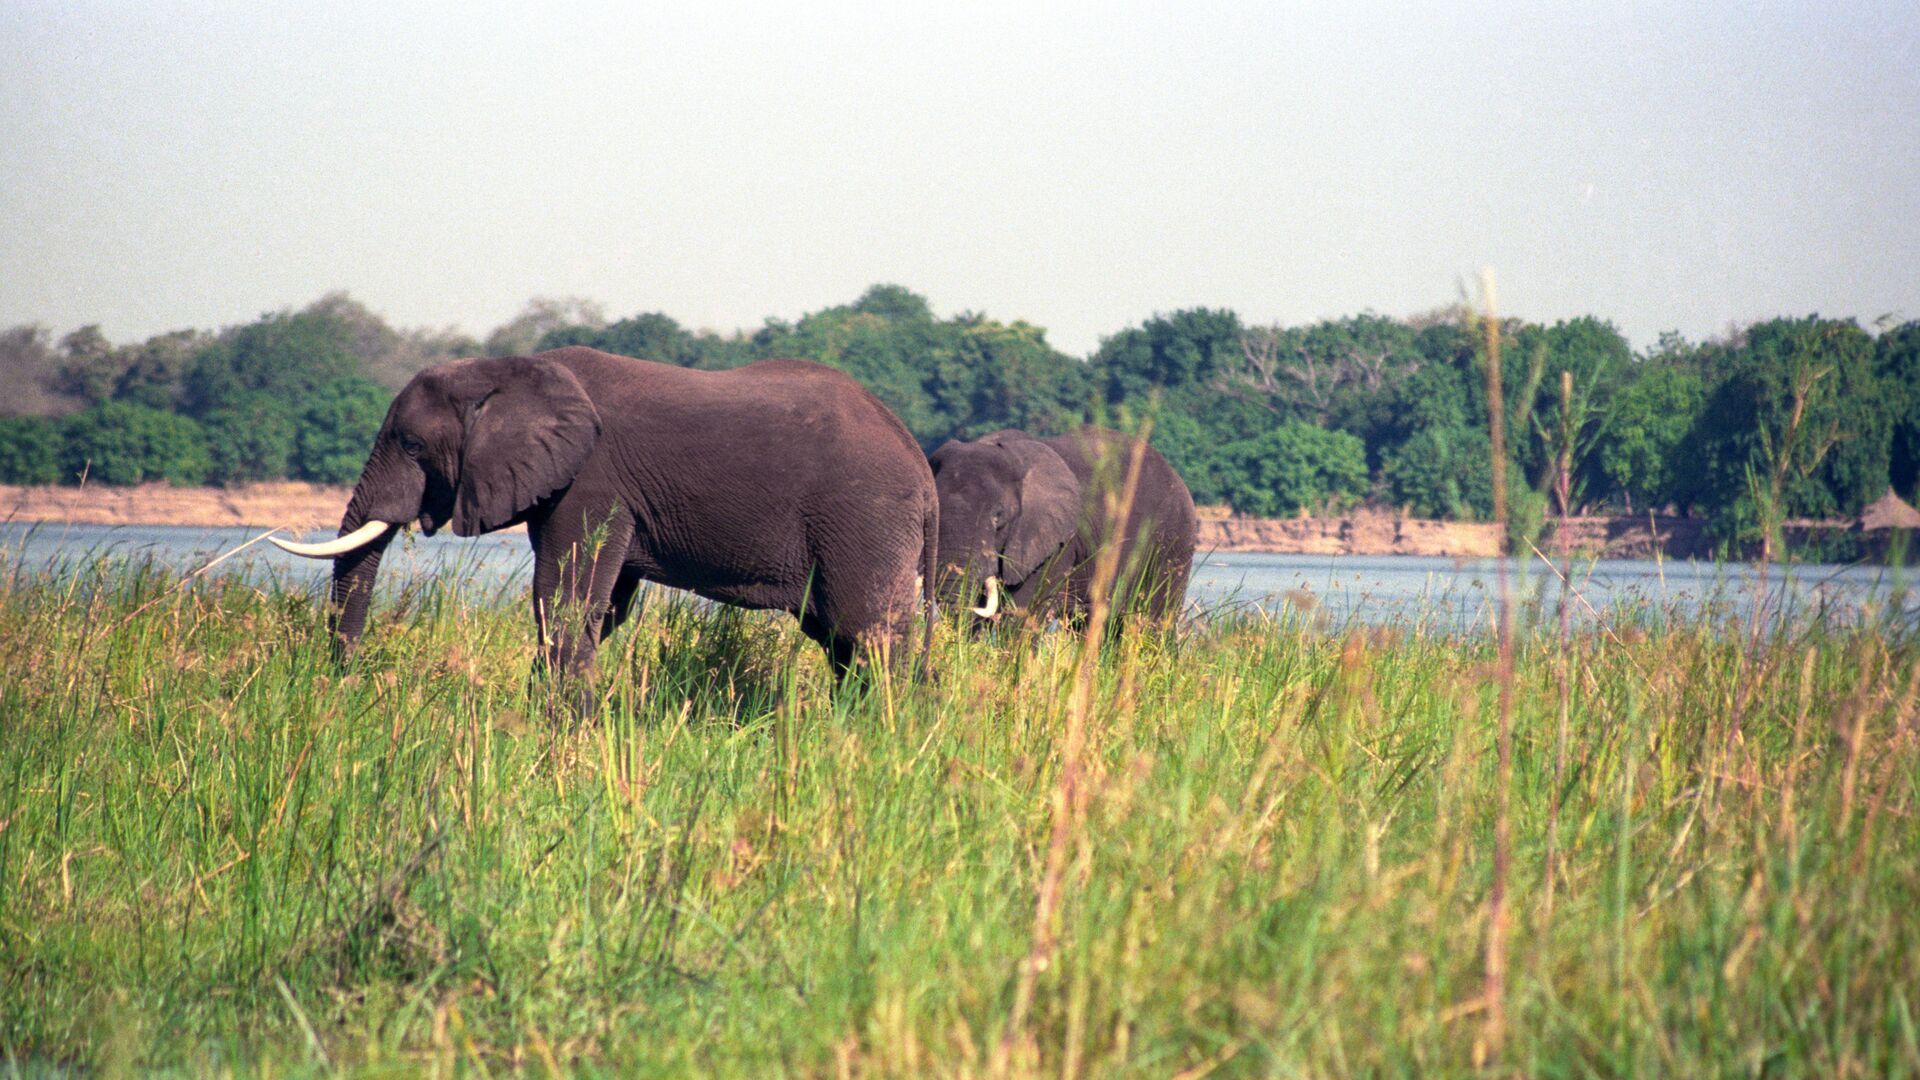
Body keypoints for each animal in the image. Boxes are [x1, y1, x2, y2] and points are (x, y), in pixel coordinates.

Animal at [276, 343, 936, 680]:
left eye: (412, 446)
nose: (345, 680)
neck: (507, 369)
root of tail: (921, 464)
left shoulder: (591, 481)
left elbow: (567, 602)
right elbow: (601, 610)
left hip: (865, 517)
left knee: (868, 635)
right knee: (841, 640)